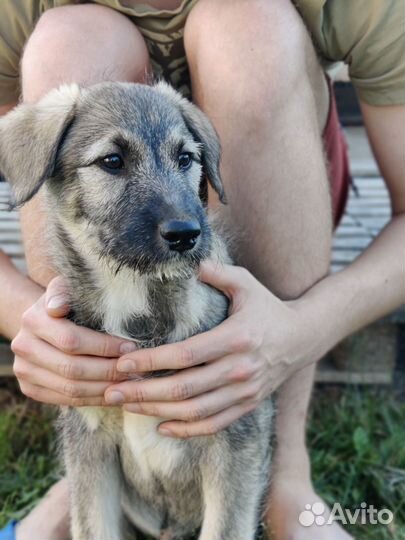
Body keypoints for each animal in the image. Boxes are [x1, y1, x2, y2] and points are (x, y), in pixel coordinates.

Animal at [0, 81, 272, 540]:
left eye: (186, 159)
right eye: (112, 161)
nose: (185, 234)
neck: (134, 296)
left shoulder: (234, 441)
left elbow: (225, 528)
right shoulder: (89, 445)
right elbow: (92, 526)